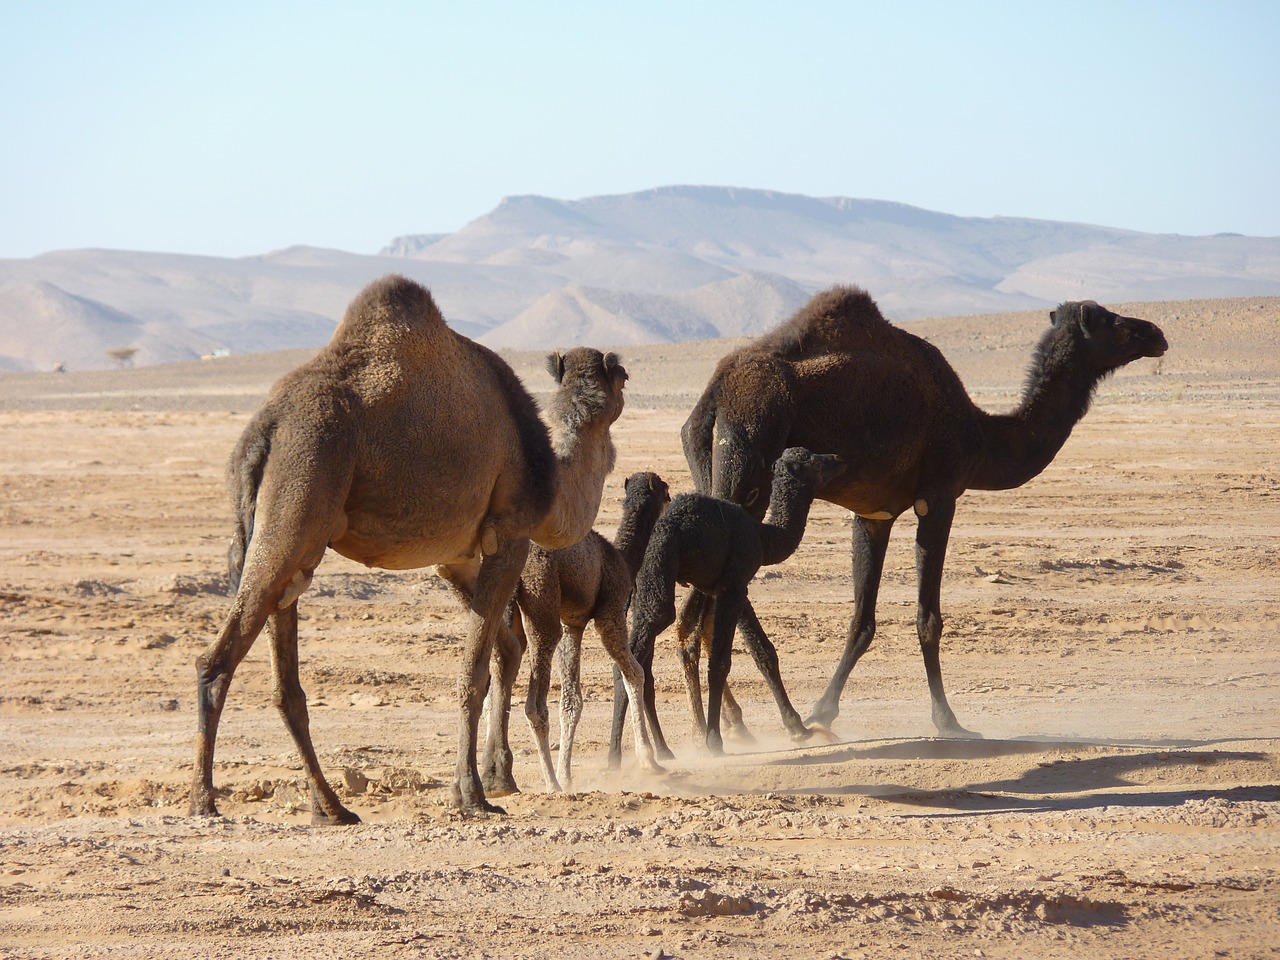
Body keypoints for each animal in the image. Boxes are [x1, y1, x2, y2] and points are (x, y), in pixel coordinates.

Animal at [189, 273, 624, 824]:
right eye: (620, 380)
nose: (615, 382)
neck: (550, 478)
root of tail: (265, 428)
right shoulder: (510, 535)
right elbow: (474, 672)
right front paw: (471, 795)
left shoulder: (456, 557)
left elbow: (505, 650)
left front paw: (499, 777)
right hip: (302, 485)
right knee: (217, 659)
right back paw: (204, 799)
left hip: (282, 531)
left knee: (285, 677)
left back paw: (330, 806)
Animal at [686, 285, 1167, 737]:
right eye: (1107, 319)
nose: (1156, 333)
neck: (982, 435)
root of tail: (714, 395)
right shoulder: (939, 498)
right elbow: (928, 619)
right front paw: (948, 720)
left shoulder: (873, 514)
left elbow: (862, 621)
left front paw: (824, 710)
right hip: (751, 452)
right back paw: (780, 720)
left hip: (710, 467)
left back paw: (737, 723)